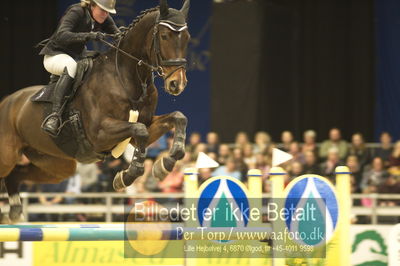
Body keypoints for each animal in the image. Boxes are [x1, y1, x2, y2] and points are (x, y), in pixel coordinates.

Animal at [0, 0, 192, 222]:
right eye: (164, 36)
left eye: (187, 37)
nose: (177, 84)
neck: (126, 78)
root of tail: (7, 101)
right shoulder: (100, 134)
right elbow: (139, 130)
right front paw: (127, 176)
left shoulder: (143, 127)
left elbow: (177, 118)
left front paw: (165, 164)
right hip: (8, 156)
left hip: (55, 164)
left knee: (16, 174)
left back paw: (15, 209)